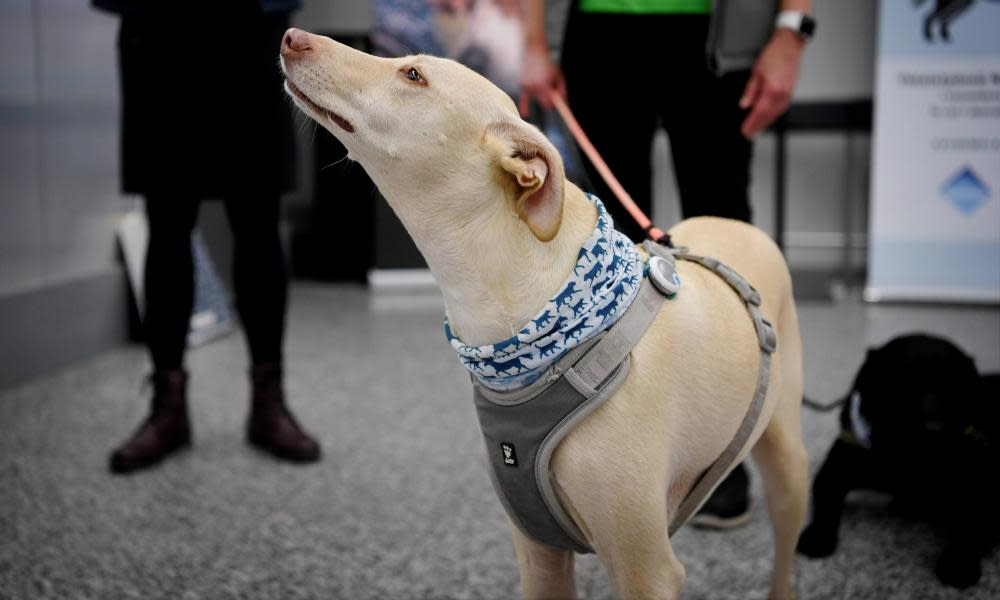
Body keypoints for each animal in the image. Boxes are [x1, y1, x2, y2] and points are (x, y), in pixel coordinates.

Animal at [278, 28, 808, 600]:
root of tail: (739, 226)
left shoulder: (647, 569)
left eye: (414, 75)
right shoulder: (538, 549)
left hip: (786, 460)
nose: (291, 37)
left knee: (785, 545)